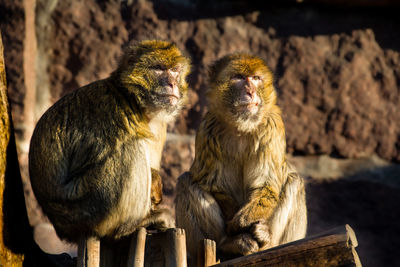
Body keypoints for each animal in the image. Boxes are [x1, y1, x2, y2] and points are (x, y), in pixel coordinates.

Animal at [28, 40, 191, 245]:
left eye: (175, 70)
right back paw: (126, 228)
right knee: (130, 147)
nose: (172, 83)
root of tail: (59, 224)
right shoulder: (111, 112)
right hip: (83, 207)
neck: (135, 102)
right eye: (159, 68)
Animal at [175, 53, 306, 260]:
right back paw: (229, 244)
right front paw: (235, 228)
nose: (250, 91)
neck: (242, 126)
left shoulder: (272, 125)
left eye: (255, 78)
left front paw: (242, 222)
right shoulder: (208, 128)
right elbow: (214, 185)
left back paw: (265, 237)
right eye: (238, 77)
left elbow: (266, 185)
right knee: (185, 182)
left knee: (295, 181)